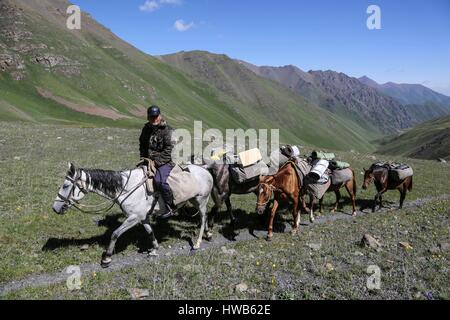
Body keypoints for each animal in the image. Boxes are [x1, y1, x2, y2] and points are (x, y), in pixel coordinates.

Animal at [52, 162, 214, 268]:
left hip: (201, 200)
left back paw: (198, 243)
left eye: (66, 185)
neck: (126, 188)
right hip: (194, 200)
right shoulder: (142, 217)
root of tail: (205, 169)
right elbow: (150, 232)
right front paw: (154, 249)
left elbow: (115, 234)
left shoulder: (133, 218)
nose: (55, 208)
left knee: (203, 218)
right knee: (204, 217)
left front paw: (107, 258)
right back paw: (208, 234)